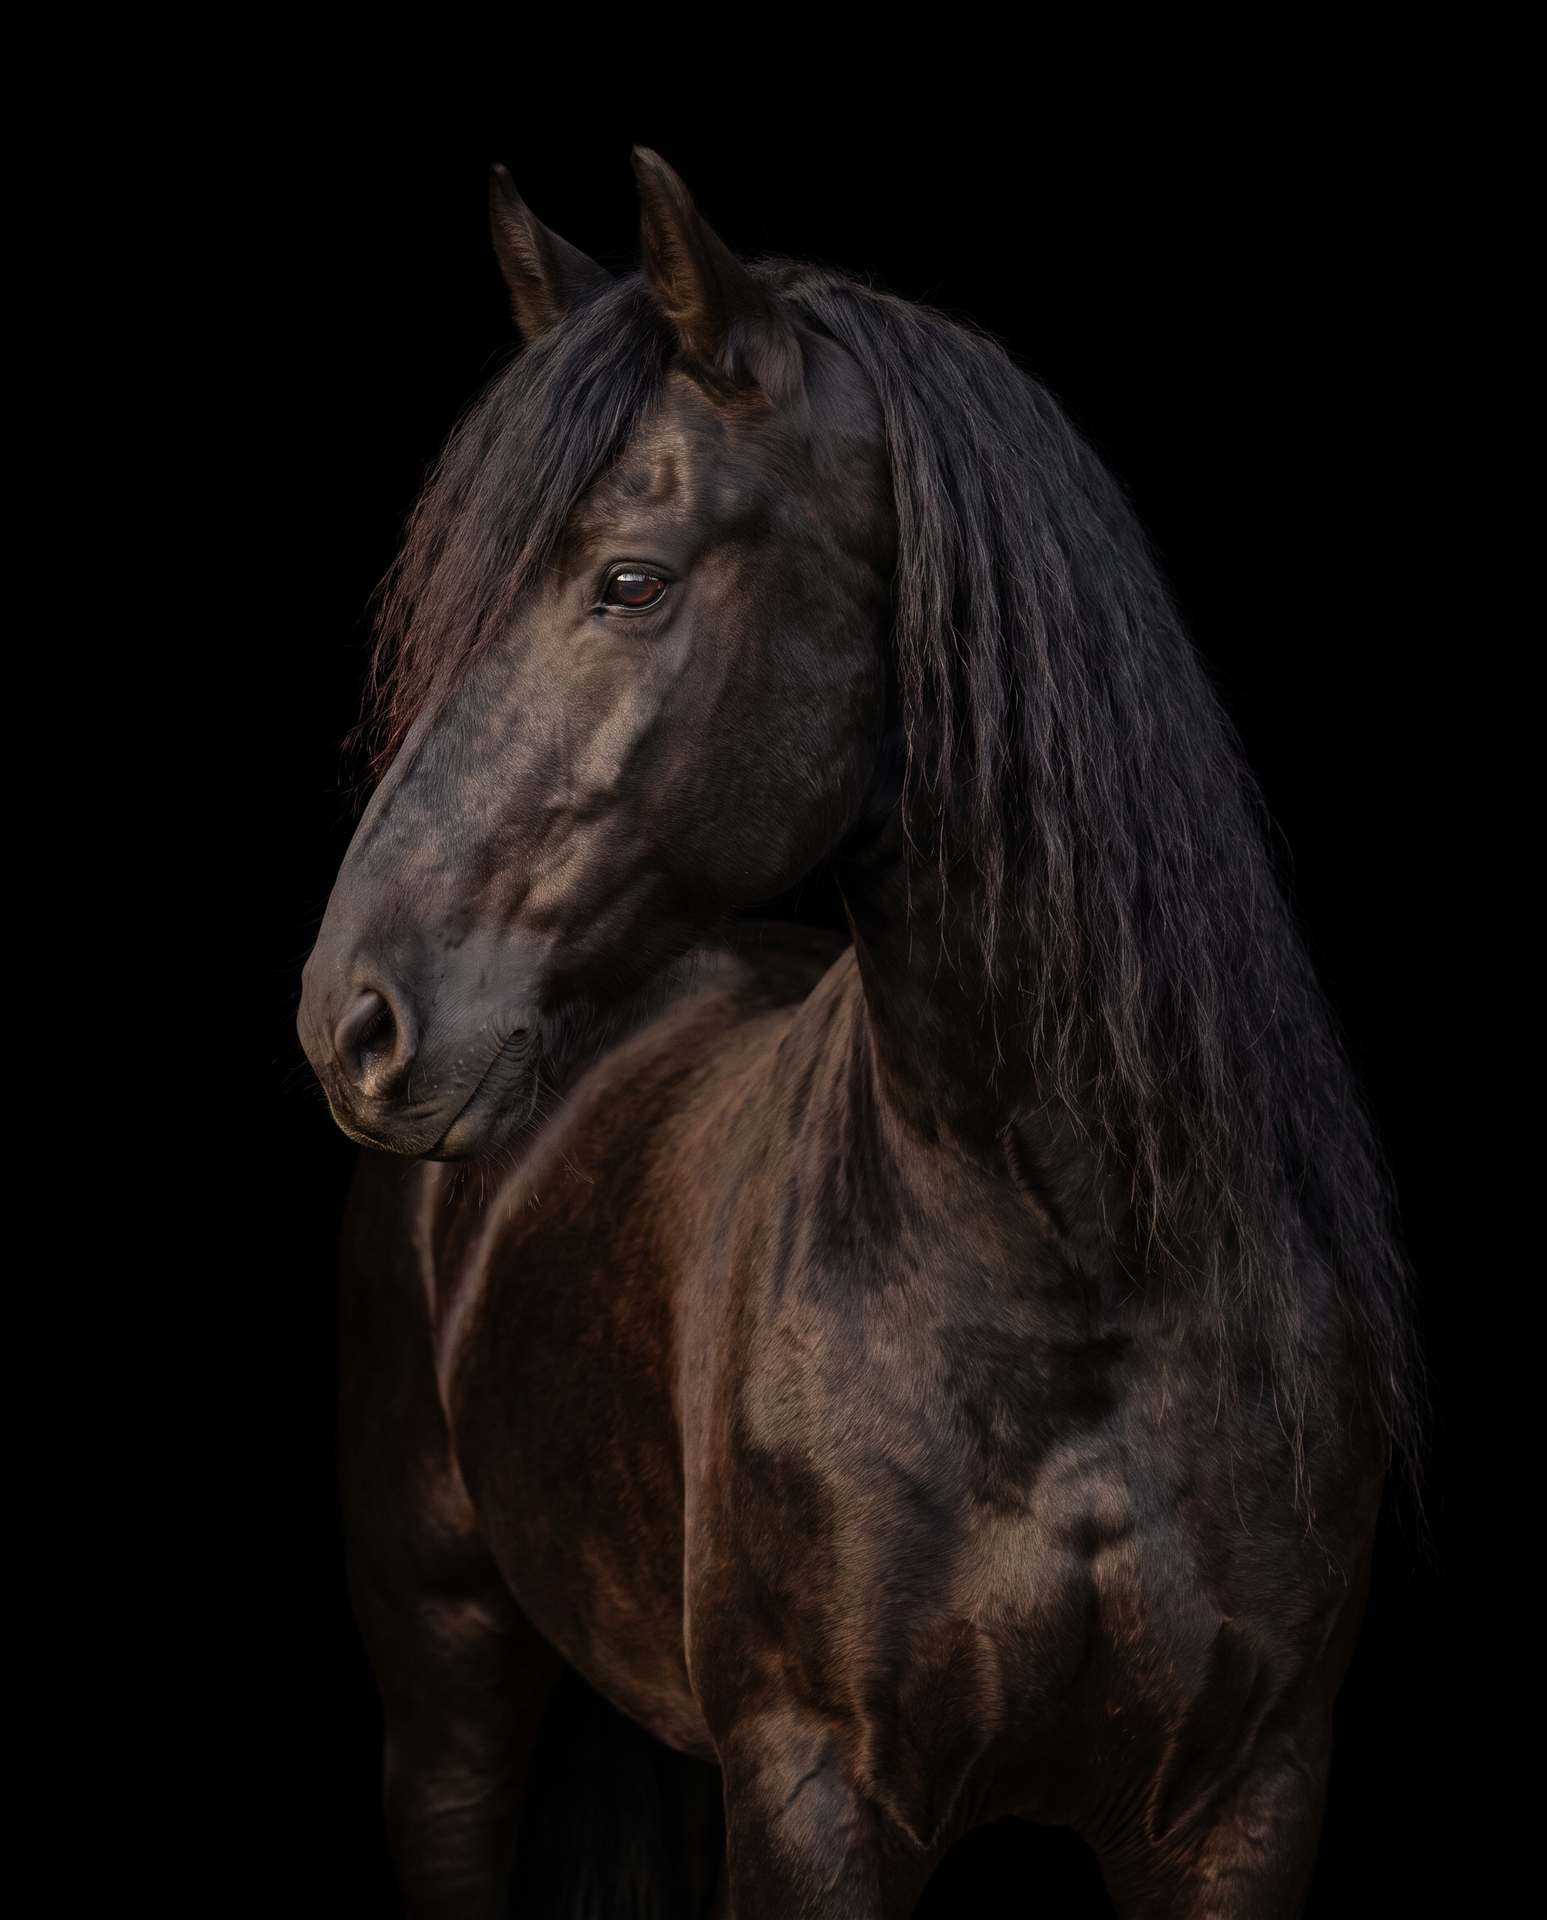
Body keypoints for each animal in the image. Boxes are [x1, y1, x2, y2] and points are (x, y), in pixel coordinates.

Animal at [297, 148, 1418, 1918]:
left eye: (630, 580)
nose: (353, 1016)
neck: (1074, 1283)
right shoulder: (816, 1794)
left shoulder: (1250, 1799)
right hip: (448, 1682)